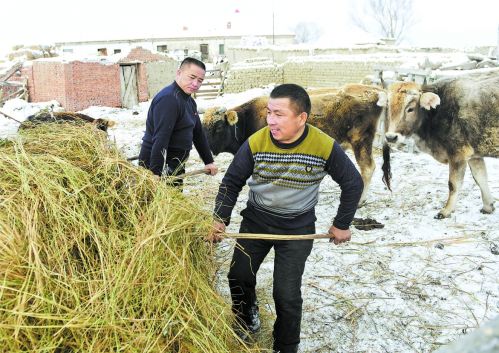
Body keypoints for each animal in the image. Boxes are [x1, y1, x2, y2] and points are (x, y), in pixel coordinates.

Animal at [205, 84, 388, 205]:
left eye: (219, 127)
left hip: (361, 141)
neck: (248, 117)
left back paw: (360, 201)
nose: (208, 150)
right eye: (203, 126)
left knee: (368, 168)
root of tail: (375, 91)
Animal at [384, 70, 498, 217]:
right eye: (388, 107)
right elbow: (481, 179)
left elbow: (453, 184)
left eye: (410, 109)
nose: (391, 137)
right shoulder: (475, 154)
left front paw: (446, 210)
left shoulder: (457, 153)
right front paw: (488, 206)